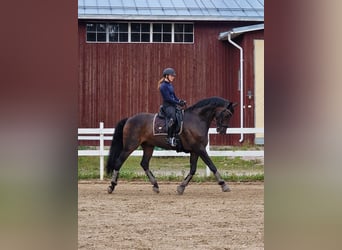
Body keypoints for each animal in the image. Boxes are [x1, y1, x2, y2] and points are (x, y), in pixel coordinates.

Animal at [105, 96, 236, 194]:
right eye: (227, 114)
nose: (222, 131)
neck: (197, 119)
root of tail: (129, 119)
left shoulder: (195, 150)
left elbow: (193, 169)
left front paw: (181, 187)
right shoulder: (200, 149)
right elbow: (211, 165)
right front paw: (224, 184)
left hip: (148, 146)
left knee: (144, 163)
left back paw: (156, 185)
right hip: (130, 146)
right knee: (119, 162)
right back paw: (111, 186)